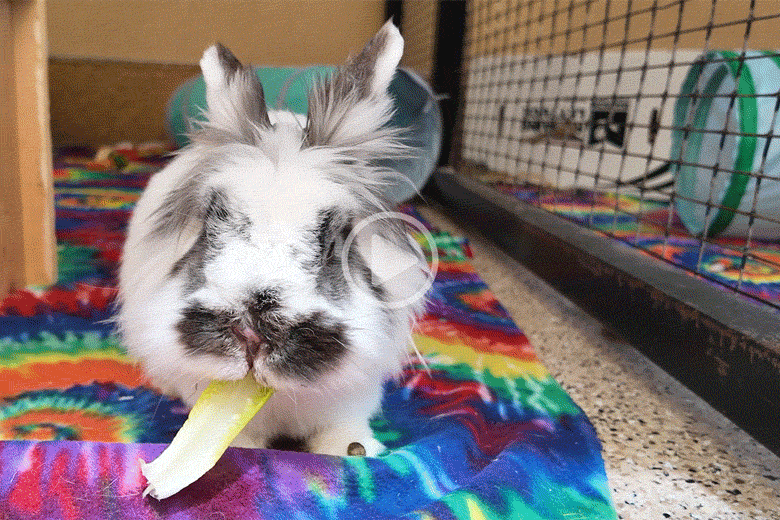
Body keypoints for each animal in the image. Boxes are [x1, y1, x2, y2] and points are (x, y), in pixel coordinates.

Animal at [116, 21, 430, 457]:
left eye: (333, 241)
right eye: (210, 224)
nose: (252, 333)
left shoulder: (353, 395)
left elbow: (343, 428)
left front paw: (354, 449)